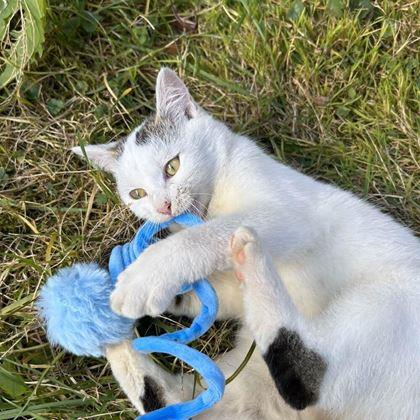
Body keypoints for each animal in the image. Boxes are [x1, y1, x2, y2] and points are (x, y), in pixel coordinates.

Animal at [73, 67, 420, 418]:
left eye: (173, 166)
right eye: (137, 194)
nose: (164, 208)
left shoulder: (290, 213)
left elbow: (203, 236)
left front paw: (144, 277)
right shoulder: (231, 293)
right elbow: (217, 294)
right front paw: (142, 285)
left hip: (388, 301)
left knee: (307, 376)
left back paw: (251, 255)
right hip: (250, 391)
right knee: (176, 399)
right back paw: (111, 337)